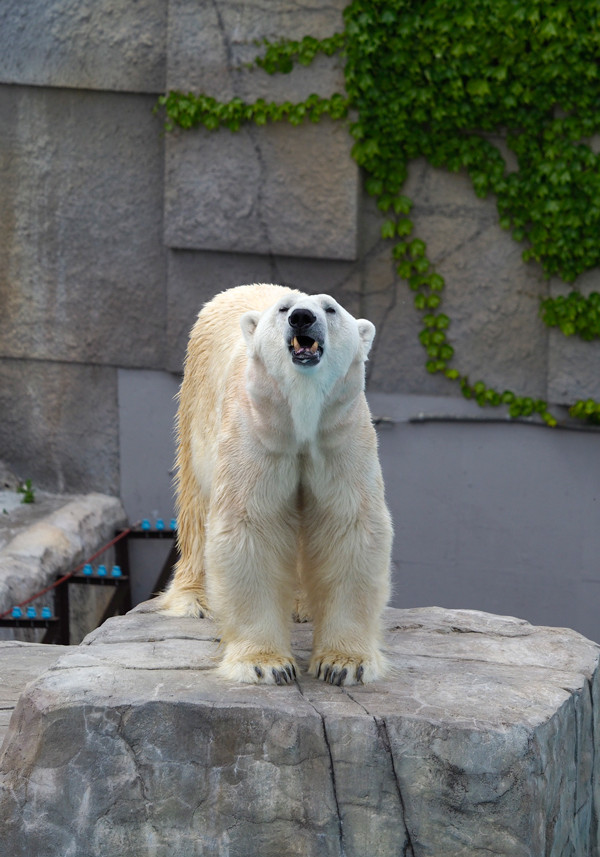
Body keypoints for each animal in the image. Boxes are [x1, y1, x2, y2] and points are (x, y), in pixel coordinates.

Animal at [158, 284, 394, 684]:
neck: (300, 415)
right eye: (283, 310)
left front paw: (344, 663)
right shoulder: (256, 430)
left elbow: (348, 525)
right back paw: (195, 598)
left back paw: (302, 604)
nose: (302, 317)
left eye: (331, 308)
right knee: (196, 503)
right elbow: (251, 526)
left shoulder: (338, 435)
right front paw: (266, 664)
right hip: (196, 402)